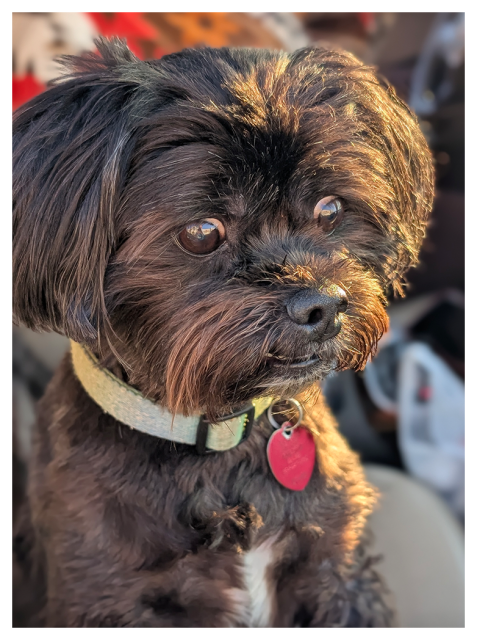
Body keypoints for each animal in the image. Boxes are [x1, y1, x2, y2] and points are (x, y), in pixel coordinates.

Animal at [13, 41, 432, 632]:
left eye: (331, 209)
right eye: (202, 232)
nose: (322, 305)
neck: (221, 437)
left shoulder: (337, 567)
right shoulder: (112, 601)